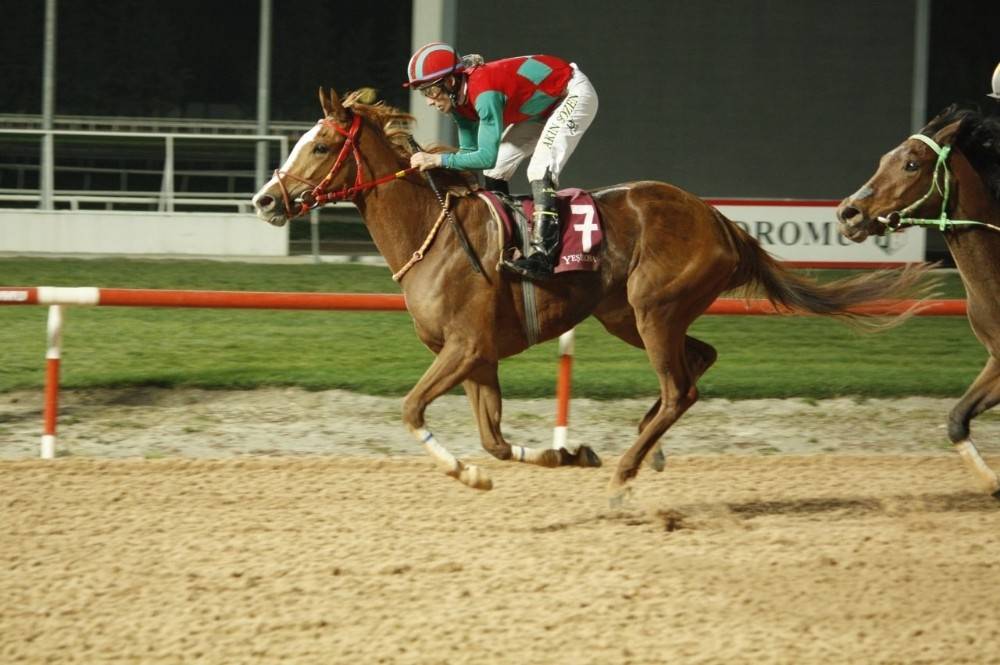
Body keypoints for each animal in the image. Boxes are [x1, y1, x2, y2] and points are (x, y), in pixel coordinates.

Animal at [254, 85, 932, 496]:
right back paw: (646, 443)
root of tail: (721, 220)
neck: (433, 232)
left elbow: (412, 409)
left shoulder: (465, 348)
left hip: (653, 309)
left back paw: (634, 463)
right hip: (628, 316)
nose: (264, 200)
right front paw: (568, 454)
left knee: (681, 385)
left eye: (320, 144)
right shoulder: (478, 357)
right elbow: (494, 440)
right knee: (699, 360)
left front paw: (465, 473)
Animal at [836, 105, 1000, 498]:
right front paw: (990, 483)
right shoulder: (997, 358)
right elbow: (956, 420)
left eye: (911, 164)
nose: (848, 212)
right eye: (884, 160)